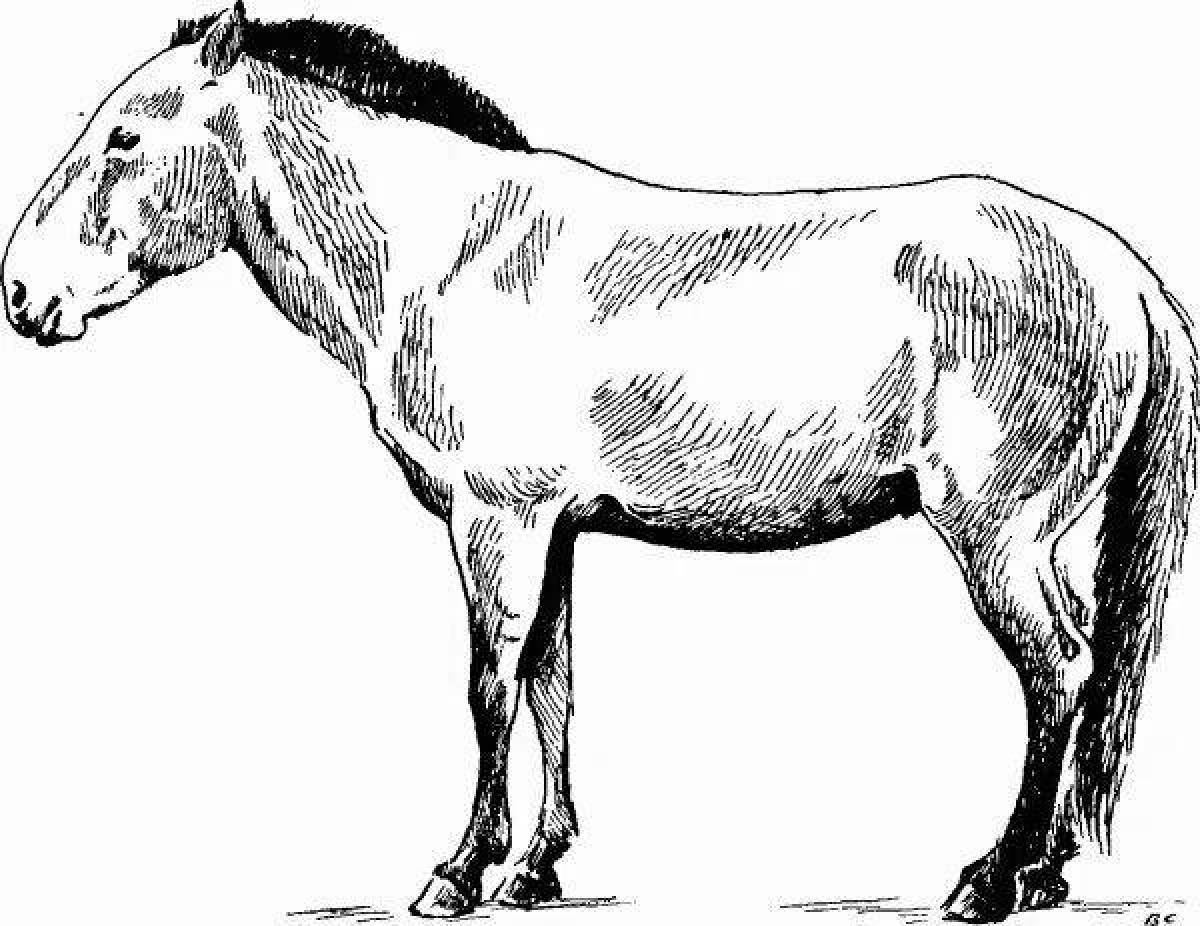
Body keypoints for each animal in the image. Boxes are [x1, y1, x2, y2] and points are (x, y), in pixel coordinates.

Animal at [3, 4, 1196, 920]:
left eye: (123, 138)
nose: (22, 294)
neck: (449, 254)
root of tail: (1127, 275)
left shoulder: (495, 519)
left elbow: (489, 686)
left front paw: (459, 872)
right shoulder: (557, 526)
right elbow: (554, 685)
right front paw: (536, 865)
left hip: (994, 533)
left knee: (1058, 670)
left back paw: (991, 879)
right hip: (1037, 537)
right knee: (1091, 662)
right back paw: (1045, 870)